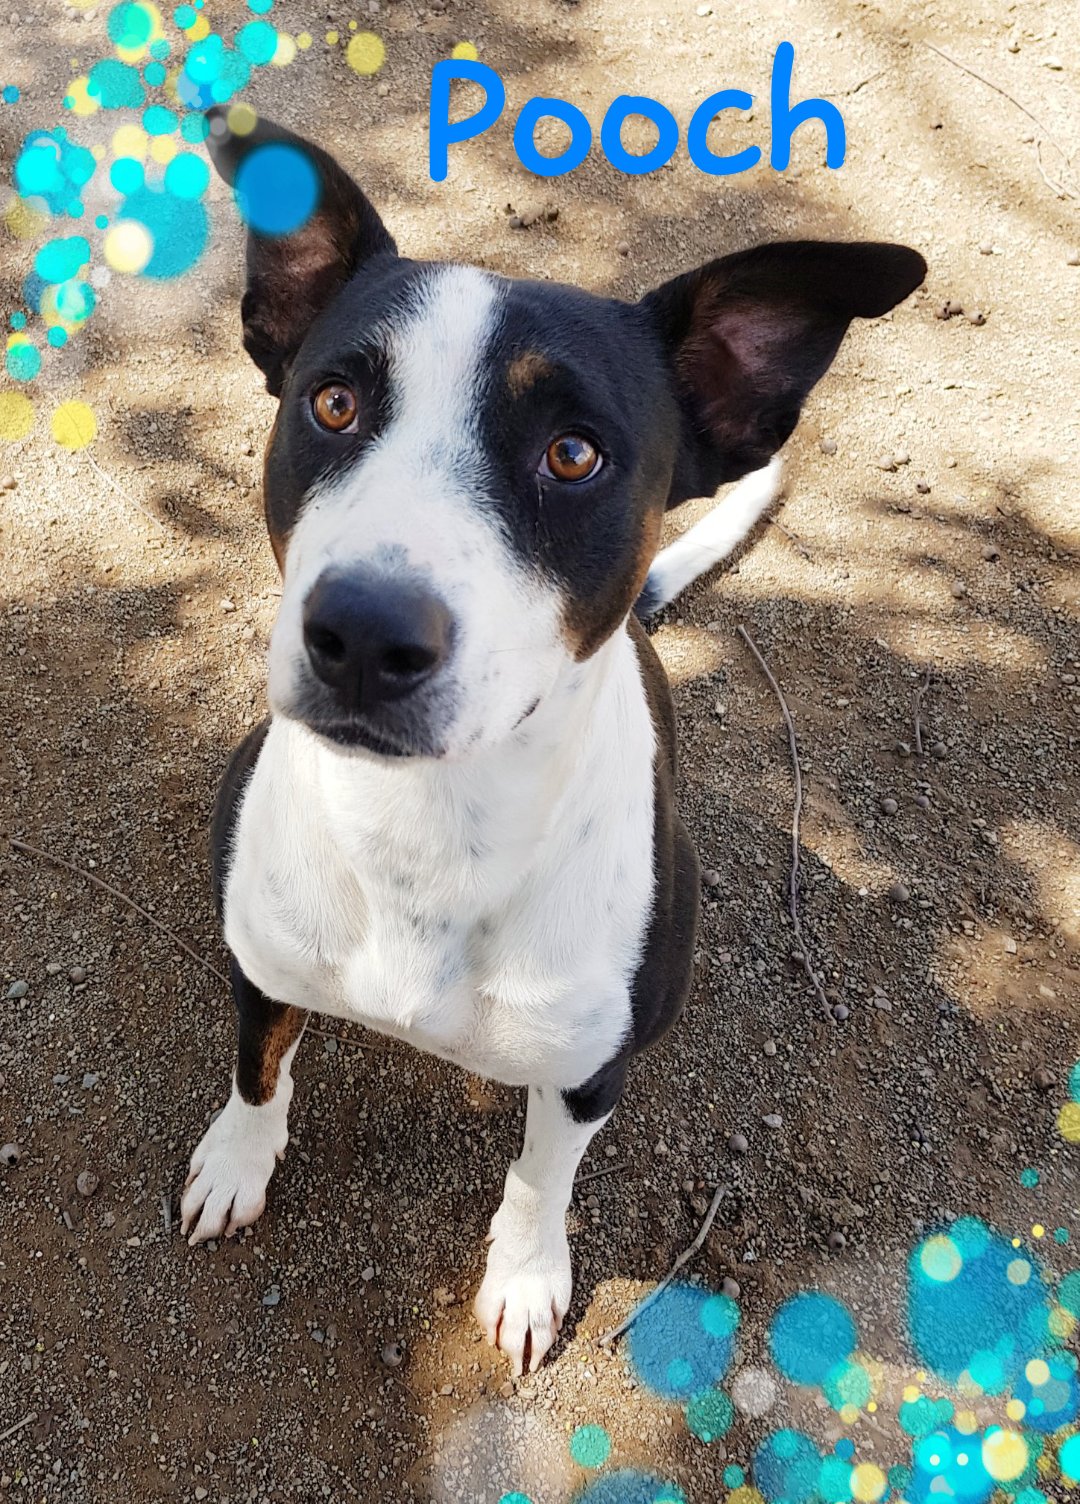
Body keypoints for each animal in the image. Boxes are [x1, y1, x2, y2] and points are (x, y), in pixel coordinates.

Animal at [180, 105, 925, 1376]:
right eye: (332, 404)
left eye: (574, 453)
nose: (363, 634)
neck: (423, 833)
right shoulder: (261, 960)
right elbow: (256, 1061)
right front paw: (237, 1159)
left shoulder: (586, 1072)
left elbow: (539, 1176)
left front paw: (526, 1278)